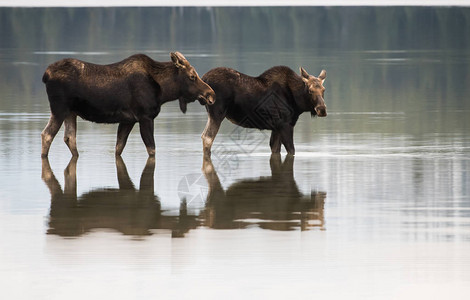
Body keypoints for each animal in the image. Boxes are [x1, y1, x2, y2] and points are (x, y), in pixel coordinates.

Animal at [41, 51, 216, 158]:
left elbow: (119, 147)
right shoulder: (145, 117)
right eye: (192, 76)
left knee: (69, 137)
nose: (211, 95)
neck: (164, 91)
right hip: (59, 109)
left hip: (71, 112)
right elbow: (152, 149)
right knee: (47, 134)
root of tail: (46, 75)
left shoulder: (128, 120)